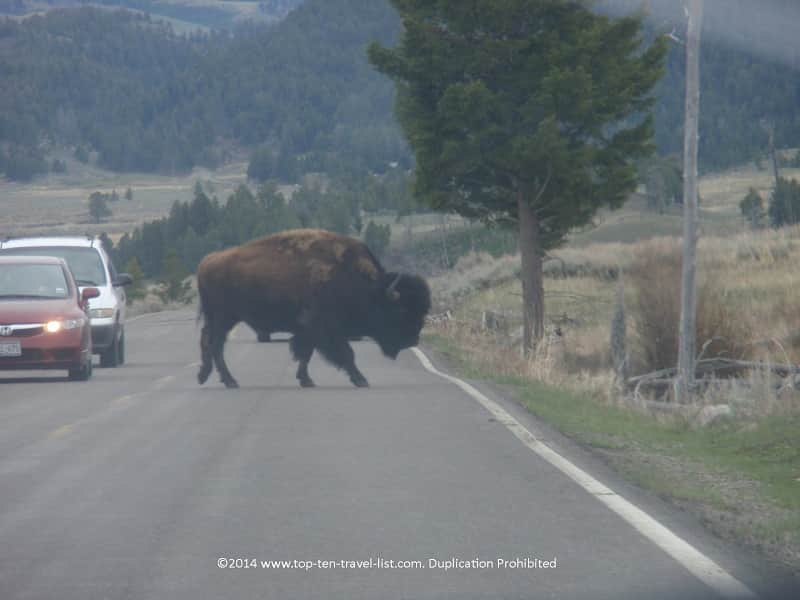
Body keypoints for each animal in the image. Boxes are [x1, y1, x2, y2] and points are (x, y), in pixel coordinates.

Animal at [196, 229, 431, 389]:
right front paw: (361, 379)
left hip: (220, 318)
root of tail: (206, 261)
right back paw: (229, 381)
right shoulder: (325, 328)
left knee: (208, 341)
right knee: (215, 345)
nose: (413, 339)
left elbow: (305, 354)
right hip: (223, 318)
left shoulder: (310, 331)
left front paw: (306, 380)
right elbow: (346, 353)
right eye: (401, 311)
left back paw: (205, 376)